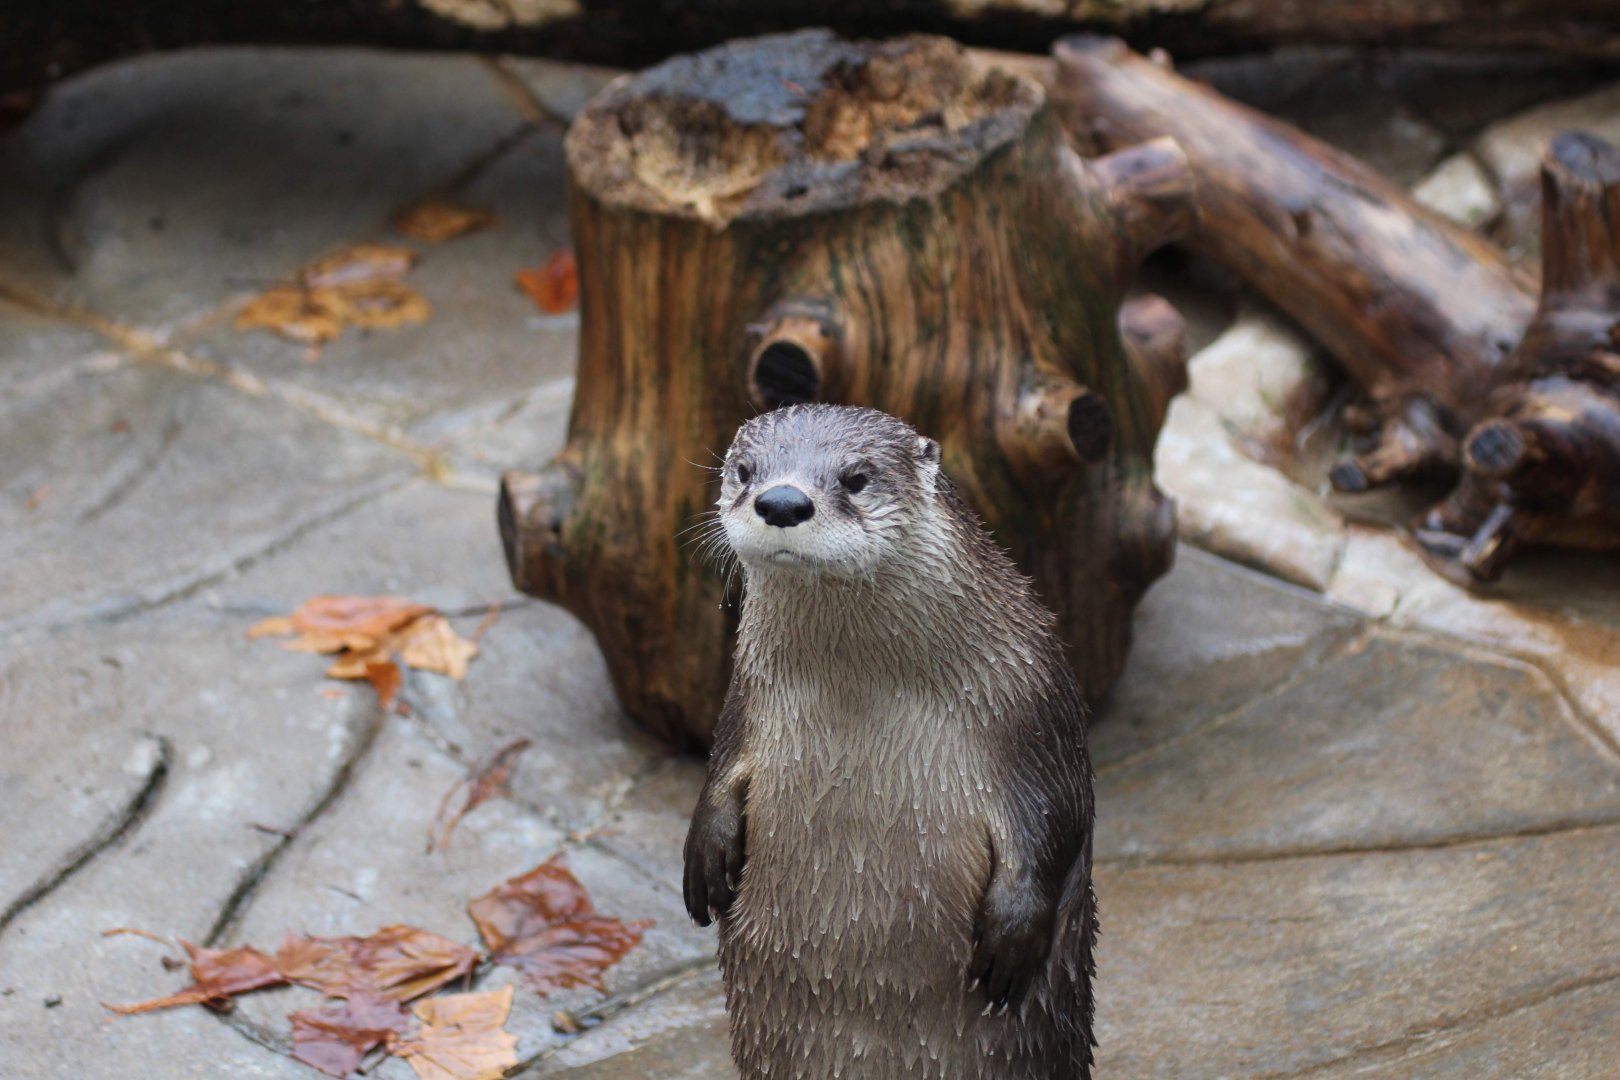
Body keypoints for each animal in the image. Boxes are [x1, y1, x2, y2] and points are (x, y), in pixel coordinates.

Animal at [683, 405, 1097, 1079]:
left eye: (856, 477)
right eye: (744, 471)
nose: (781, 501)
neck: (864, 687)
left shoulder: (1037, 701)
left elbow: (1058, 814)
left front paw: (1011, 937)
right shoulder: (746, 696)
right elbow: (720, 770)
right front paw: (704, 857)